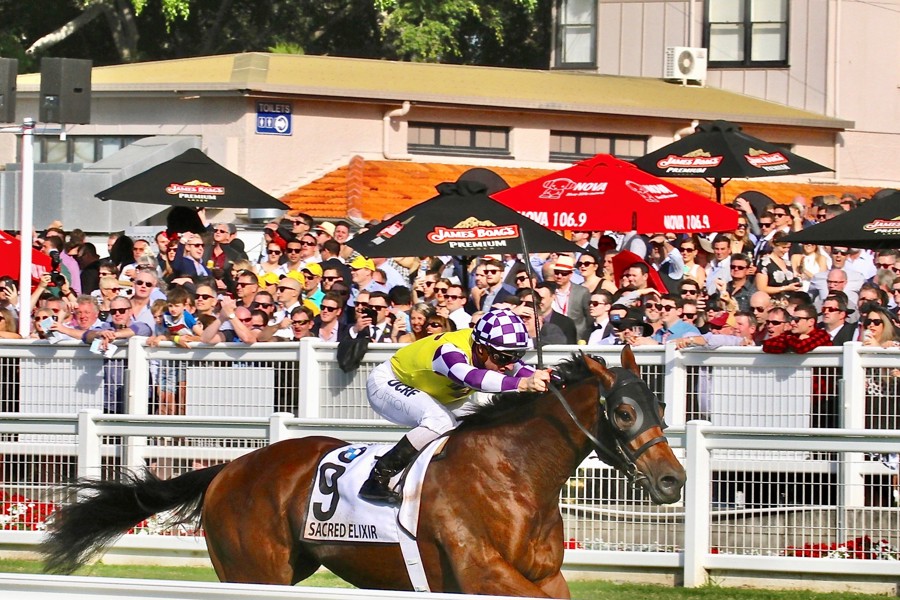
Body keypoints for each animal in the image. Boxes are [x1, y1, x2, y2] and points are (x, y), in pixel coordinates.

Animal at [41, 348, 685, 598]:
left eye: (658, 406)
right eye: (624, 412)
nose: (673, 480)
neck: (515, 473)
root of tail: (230, 468)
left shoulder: (544, 576)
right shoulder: (483, 573)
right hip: (254, 572)